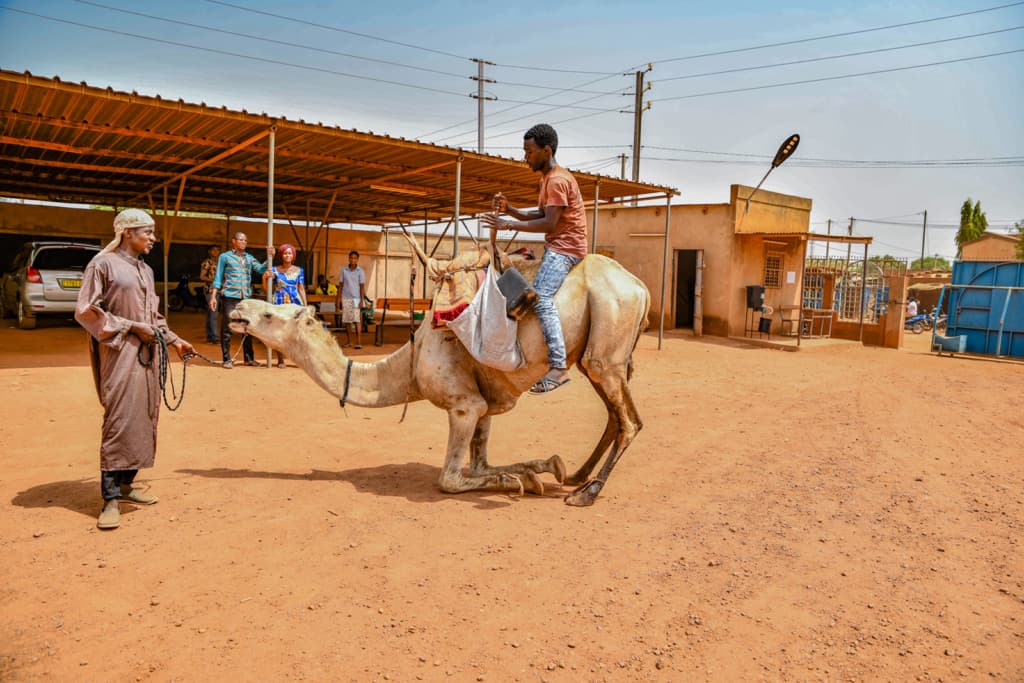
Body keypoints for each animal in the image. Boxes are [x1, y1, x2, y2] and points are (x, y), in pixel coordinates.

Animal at [230, 237, 647, 505]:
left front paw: (518, 479)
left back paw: (587, 493)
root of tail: (640, 287)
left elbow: (449, 479)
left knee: (628, 421)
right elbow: (480, 464)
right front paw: (538, 470)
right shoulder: (483, 403)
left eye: (270, 315)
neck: (410, 369)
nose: (238, 310)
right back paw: (576, 476)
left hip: (606, 341)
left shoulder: (462, 404)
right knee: (616, 416)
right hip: (601, 356)